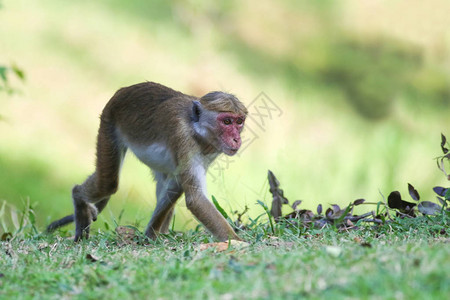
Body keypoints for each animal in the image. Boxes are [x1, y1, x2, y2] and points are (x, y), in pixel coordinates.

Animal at [47, 81, 248, 241]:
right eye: (227, 121)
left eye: (239, 122)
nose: (236, 139)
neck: (197, 129)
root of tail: (123, 90)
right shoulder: (182, 136)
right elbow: (195, 199)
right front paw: (237, 243)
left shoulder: (211, 150)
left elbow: (177, 187)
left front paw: (151, 236)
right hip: (108, 123)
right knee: (108, 184)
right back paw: (79, 199)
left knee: (171, 185)